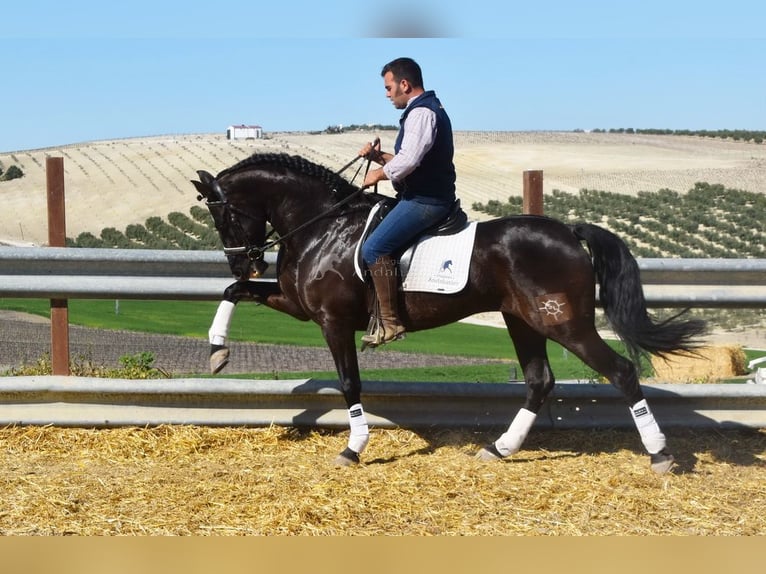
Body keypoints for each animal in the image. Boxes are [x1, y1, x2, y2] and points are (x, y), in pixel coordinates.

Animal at [194, 151, 708, 474]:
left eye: (226, 215)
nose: (244, 260)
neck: (324, 225)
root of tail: (566, 231)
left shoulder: (332, 322)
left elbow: (349, 383)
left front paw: (353, 448)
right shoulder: (299, 306)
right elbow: (234, 291)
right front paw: (217, 352)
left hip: (564, 323)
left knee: (621, 371)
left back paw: (660, 455)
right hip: (523, 321)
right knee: (540, 381)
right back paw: (499, 449)